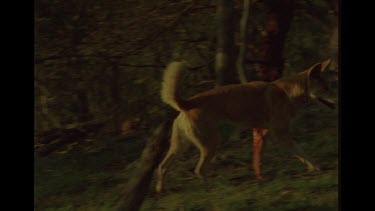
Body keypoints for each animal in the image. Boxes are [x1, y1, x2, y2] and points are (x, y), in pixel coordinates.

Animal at [156, 59, 338, 193]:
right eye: (326, 88)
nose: (338, 99)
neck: (288, 94)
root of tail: (186, 103)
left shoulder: (264, 133)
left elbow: (262, 156)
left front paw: (260, 176)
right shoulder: (281, 134)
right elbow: (301, 151)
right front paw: (315, 167)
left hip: (180, 146)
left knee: (162, 166)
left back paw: (161, 190)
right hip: (210, 144)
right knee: (199, 170)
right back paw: (211, 187)